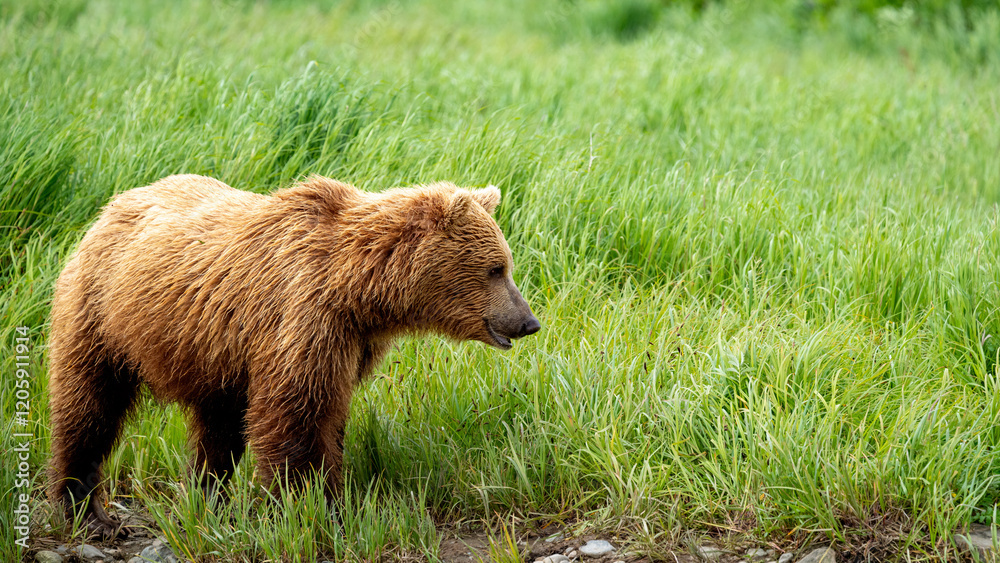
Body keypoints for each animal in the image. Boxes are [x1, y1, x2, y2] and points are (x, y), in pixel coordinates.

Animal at [47, 174, 540, 538]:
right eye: (496, 268)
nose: (528, 321)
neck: (358, 291)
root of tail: (111, 207)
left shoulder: (350, 341)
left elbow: (328, 415)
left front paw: (330, 499)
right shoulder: (301, 317)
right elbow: (296, 414)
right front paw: (308, 506)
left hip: (213, 353)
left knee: (217, 428)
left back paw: (207, 498)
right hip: (100, 314)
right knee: (89, 406)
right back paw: (87, 509)